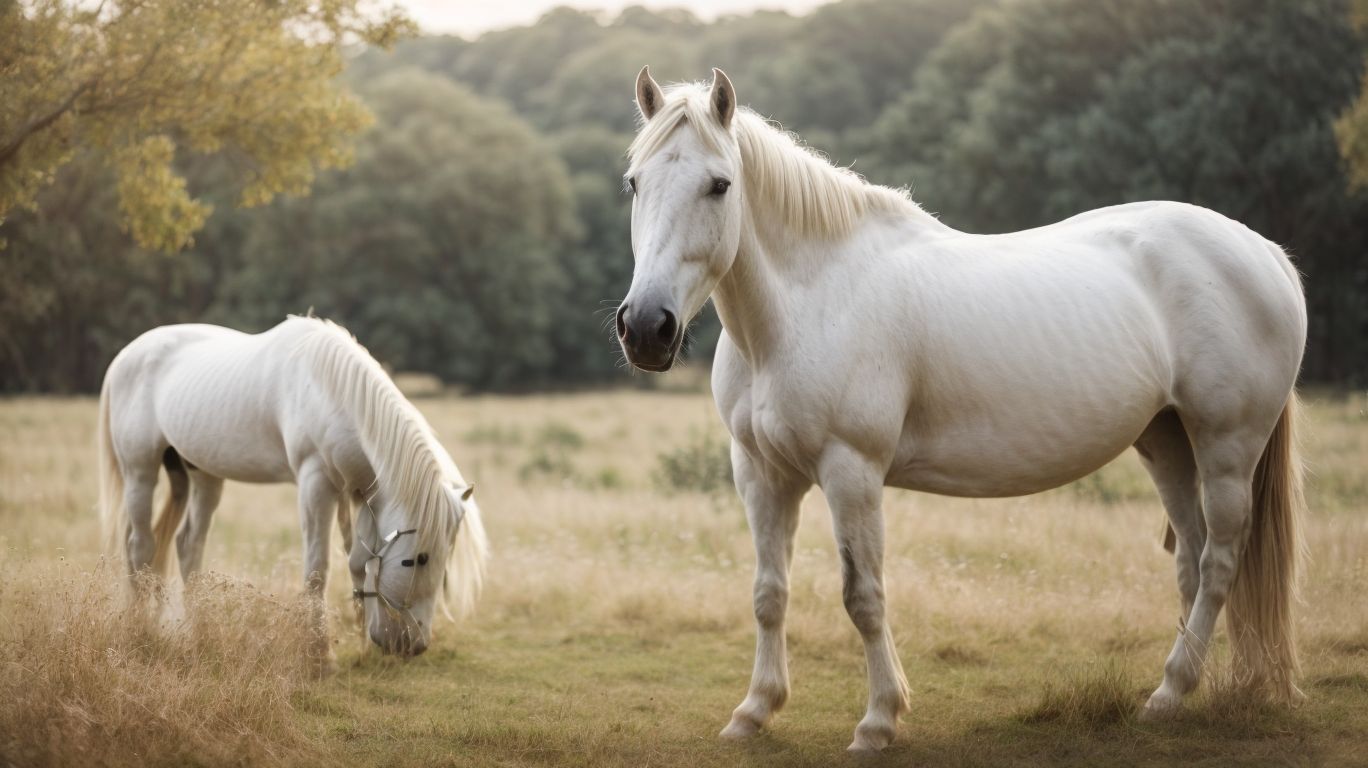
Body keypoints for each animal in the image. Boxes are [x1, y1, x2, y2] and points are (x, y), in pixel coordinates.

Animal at [98, 316, 488, 657]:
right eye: (417, 559)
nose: (412, 645)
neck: (332, 392)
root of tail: (124, 357)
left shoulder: (364, 496)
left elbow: (359, 563)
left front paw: (360, 644)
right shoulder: (316, 485)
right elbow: (317, 570)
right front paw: (318, 657)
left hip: (203, 474)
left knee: (187, 544)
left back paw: (200, 633)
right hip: (140, 471)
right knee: (140, 546)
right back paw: (140, 630)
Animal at [617, 67, 1306, 752]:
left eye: (719, 185)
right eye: (634, 182)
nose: (647, 327)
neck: (810, 303)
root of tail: (1267, 254)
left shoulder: (851, 471)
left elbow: (862, 596)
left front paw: (878, 720)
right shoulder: (760, 473)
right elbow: (768, 593)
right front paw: (755, 711)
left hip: (1226, 445)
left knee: (1218, 562)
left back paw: (1170, 692)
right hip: (1167, 442)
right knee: (1190, 561)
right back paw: (1174, 690)